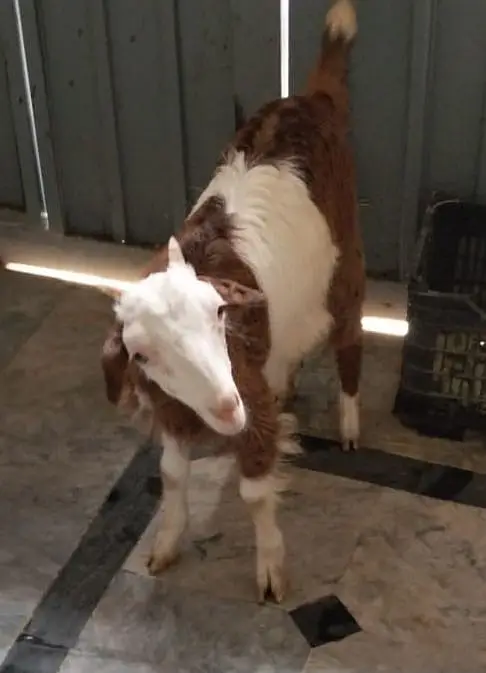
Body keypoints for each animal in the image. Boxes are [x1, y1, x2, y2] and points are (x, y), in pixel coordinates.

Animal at [101, 0, 364, 603]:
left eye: (218, 315)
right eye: (142, 354)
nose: (225, 407)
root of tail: (307, 100)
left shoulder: (250, 402)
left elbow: (254, 489)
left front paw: (270, 572)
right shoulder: (171, 407)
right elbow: (173, 474)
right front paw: (165, 545)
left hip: (348, 258)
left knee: (349, 336)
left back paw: (349, 421)